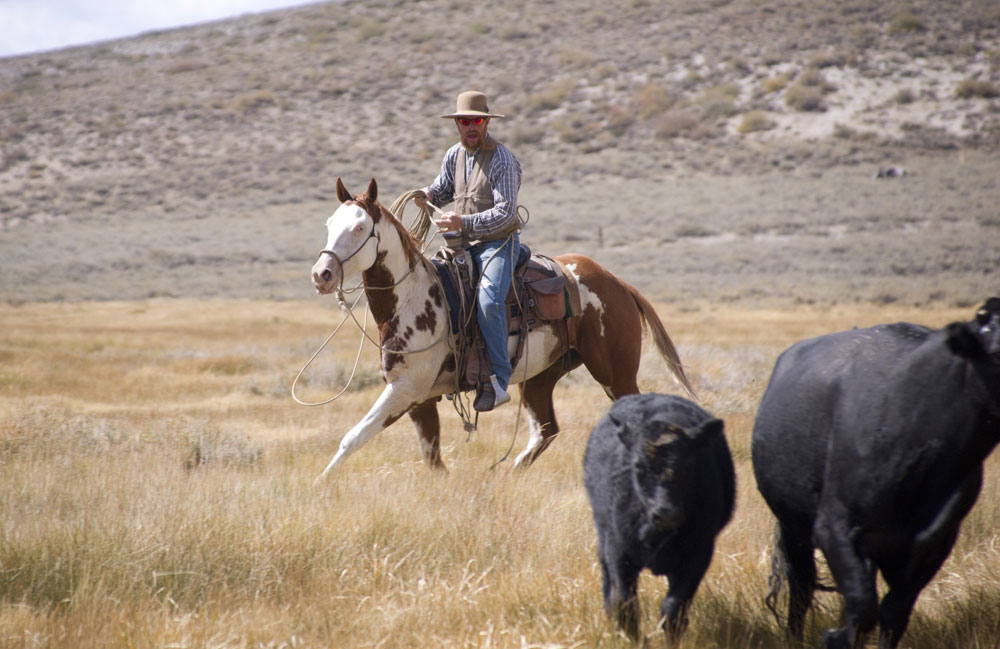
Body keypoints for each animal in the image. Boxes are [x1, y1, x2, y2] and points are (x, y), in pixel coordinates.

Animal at [308, 178, 692, 480]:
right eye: (329, 223)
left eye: (359, 228)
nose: (321, 274)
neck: (413, 298)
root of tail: (618, 283)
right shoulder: (419, 396)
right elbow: (432, 456)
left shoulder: (405, 390)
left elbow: (354, 436)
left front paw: (320, 485)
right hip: (541, 377)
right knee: (545, 430)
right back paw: (507, 476)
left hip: (616, 374)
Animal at [584, 392, 736, 640]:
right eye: (638, 466)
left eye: (689, 464)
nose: (666, 514)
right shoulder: (618, 551)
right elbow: (625, 603)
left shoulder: (698, 555)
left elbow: (673, 608)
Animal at [752, 298, 1000, 648]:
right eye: (997, 353)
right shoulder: (835, 530)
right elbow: (861, 607)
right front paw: (833, 636)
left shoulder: (933, 546)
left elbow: (893, 613)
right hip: (794, 529)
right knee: (801, 587)